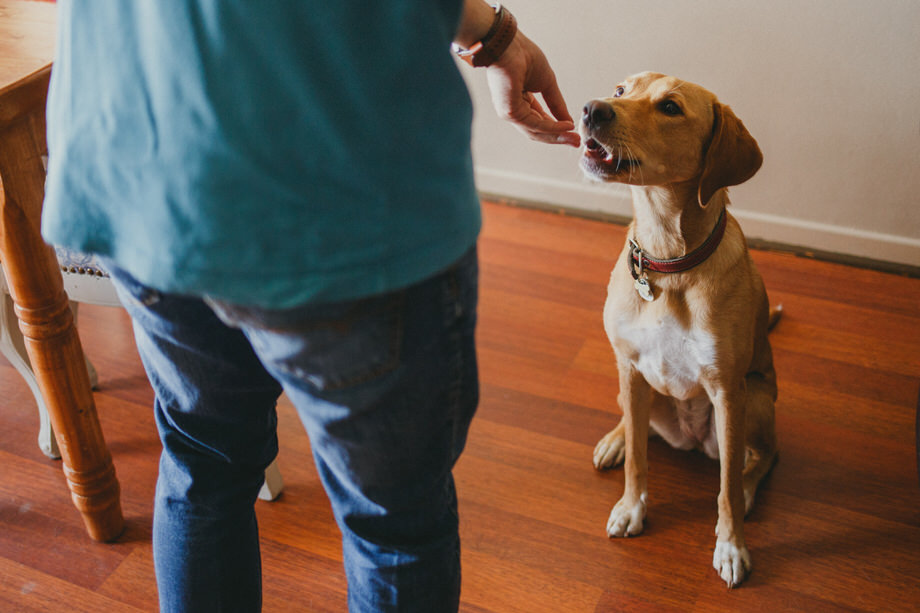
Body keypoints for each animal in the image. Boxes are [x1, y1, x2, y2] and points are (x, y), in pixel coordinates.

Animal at [584, 73, 776, 588]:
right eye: (620, 89)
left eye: (670, 107)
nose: (591, 109)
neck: (667, 260)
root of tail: (688, 438)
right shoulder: (630, 368)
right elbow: (637, 459)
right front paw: (632, 507)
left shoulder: (728, 391)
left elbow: (725, 488)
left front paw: (731, 546)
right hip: (636, 387)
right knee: (636, 427)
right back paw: (615, 439)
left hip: (757, 400)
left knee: (762, 458)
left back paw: (750, 490)